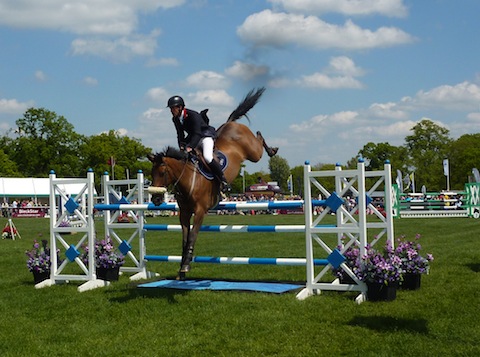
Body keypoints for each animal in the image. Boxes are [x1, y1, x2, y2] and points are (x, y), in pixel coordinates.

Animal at [148, 87, 280, 280]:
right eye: (151, 173)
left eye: (163, 173)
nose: (156, 200)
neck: (188, 179)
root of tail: (231, 123)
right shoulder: (184, 213)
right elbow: (185, 239)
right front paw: (181, 270)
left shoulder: (200, 211)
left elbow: (192, 236)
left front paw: (186, 266)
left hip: (254, 153)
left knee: (259, 139)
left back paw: (272, 150)